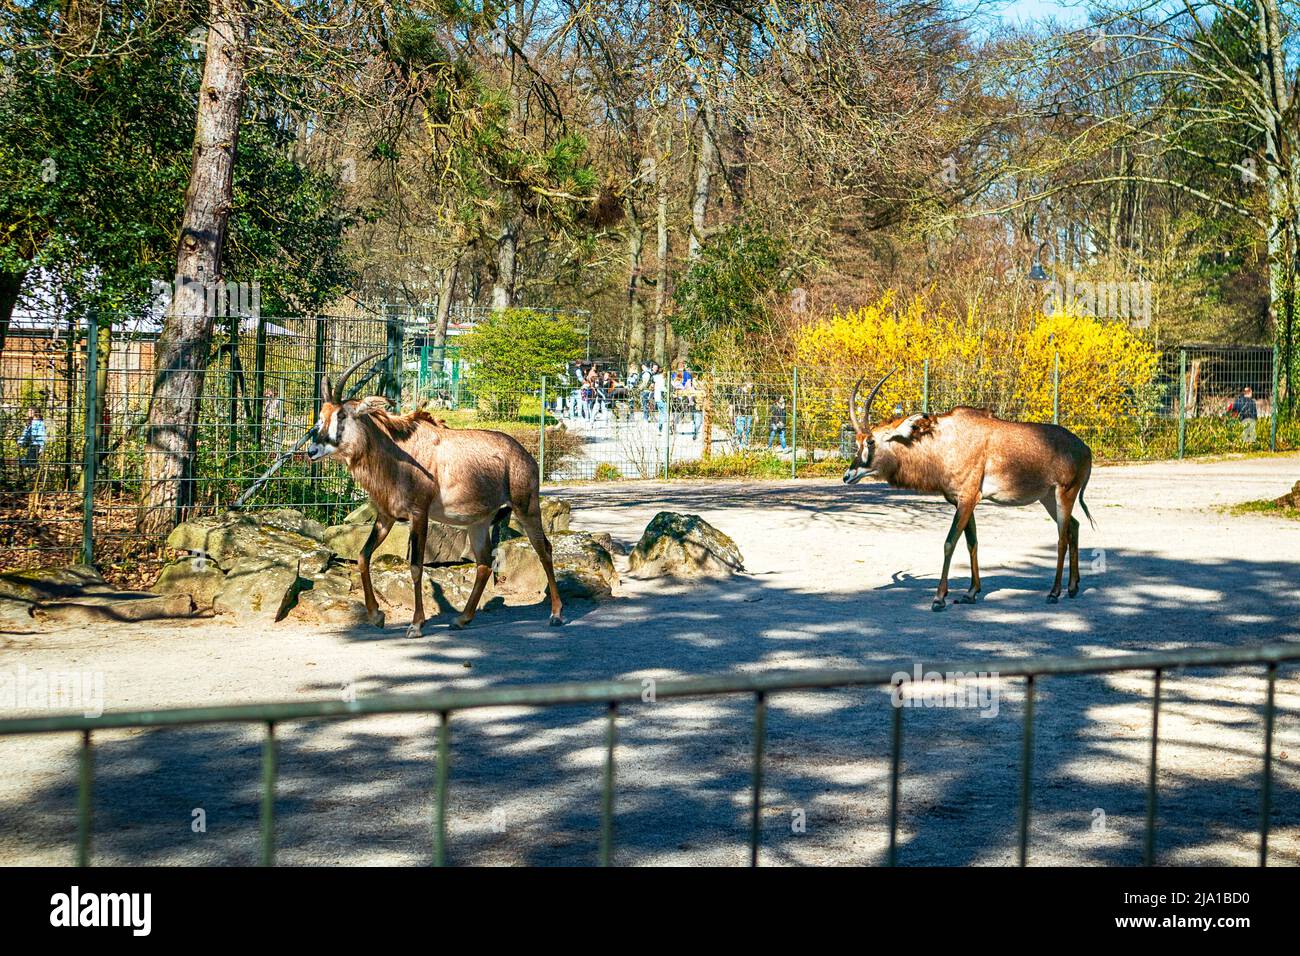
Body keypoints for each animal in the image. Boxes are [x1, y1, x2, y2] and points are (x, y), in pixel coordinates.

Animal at [312, 356, 566, 639]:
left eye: (342, 415)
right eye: (321, 416)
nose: (312, 450)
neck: (397, 451)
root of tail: (526, 455)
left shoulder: (418, 514)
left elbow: (415, 566)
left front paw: (416, 624)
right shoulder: (386, 516)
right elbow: (363, 556)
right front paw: (376, 615)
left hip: (527, 507)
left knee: (544, 549)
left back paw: (556, 614)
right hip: (478, 523)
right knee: (484, 563)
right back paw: (462, 619)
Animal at [847, 369, 1092, 608]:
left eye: (871, 441)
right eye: (857, 441)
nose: (848, 475)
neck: (946, 442)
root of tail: (1084, 448)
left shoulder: (967, 498)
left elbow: (949, 542)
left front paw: (939, 597)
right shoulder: (962, 501)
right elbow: (971, 542)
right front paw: (971, 592)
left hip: (1065, 493)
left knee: (1061, 538)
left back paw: (1054, 592)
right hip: (1048, 497)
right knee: (1074, 527)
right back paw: (1072, 587)